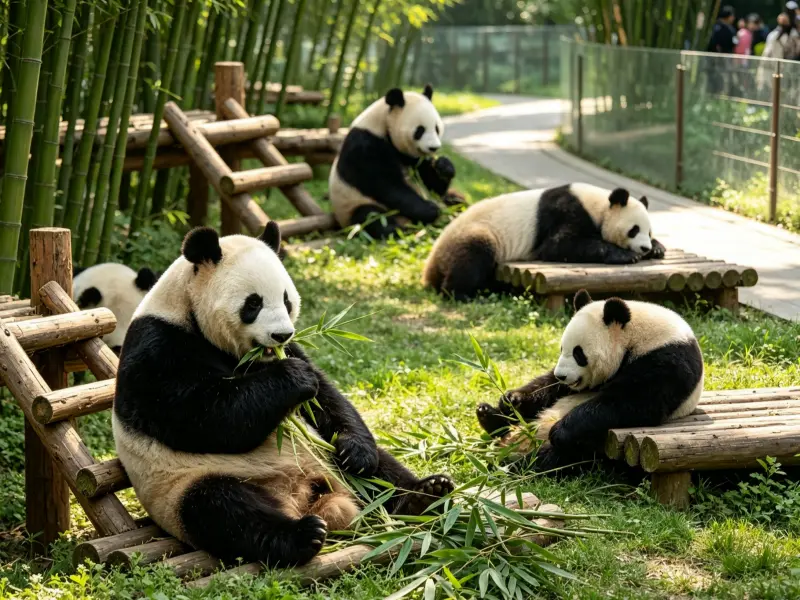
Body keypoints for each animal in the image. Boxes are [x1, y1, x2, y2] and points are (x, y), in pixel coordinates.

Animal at [112, 223, 454, 567]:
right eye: (253, 303)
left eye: (287, 300)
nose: (281, 334)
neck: (188, 311)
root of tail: (302, 497)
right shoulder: (158, 348)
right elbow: (201, 417)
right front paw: (293, 377)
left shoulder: (293, 350)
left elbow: (327, 400)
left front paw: (356, 452)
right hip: (184, 486)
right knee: (221, 508)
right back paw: (302, 535)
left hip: (328, 460)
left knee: (381, 472)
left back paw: (426, 495)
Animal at [329, 84, 461, 240]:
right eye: (420, 130)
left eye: (436, 128)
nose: (433, 148)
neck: (382, 124)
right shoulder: (364, 145)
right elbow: (385, 184)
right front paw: (430, 209)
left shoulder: (412, 157)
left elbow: (432, 184)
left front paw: (444, 166)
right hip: (352, 205)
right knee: (369, 216)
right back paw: (398, 230)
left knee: (454, 198)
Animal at [423, 183, 667, 300]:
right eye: (633, 230)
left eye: (649, 231)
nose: (644, 247)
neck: (598, 204)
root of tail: (432, 260)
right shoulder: (567, 212)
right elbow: (559, 246)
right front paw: (625, 255)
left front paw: (657, 249)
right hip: (474, 234)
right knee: (472, 256)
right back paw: (461, 294)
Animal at [476, 290, 704, 472]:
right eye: (562, 348)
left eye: (579, 353)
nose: (561, 375)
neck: (637, 336)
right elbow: (548, 387)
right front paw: (512, 398)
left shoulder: (667, 361)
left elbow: (632, 402)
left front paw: (560, 430)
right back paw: (487, 415)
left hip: (593, 445)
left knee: (562, 457)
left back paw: (514, 463)